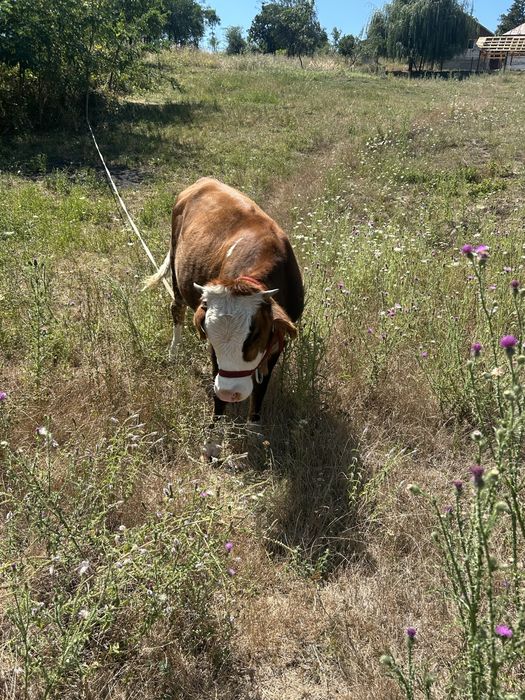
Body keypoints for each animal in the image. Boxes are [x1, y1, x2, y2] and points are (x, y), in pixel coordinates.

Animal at [144, 177, 304, 424]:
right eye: (209, 333)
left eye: (255, 335)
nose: (230, 392)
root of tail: (204, 181)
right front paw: (216, 426)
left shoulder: (279, 339)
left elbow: (260, 391)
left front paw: (253, 426)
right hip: (175, 268)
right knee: (177, 310)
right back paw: (173, 352)